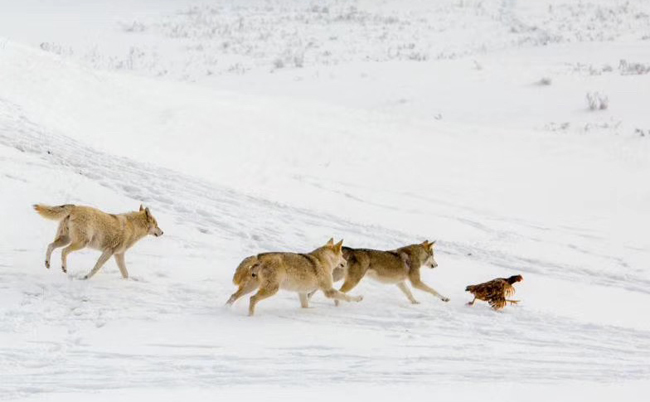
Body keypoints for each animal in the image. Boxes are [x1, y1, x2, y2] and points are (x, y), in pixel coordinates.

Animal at [33, 204, 163, 280]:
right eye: (157, 225)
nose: (162, 232)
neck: (134, 227)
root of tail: (75, 207)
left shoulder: (118, 255)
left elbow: (125, 273)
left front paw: (126, 282)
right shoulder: (109, 252)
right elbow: (96, 267)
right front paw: (86, 277)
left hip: (65, 239)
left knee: (50, 246)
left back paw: (47, 264)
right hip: (81, 243)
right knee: (64, 251)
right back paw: (64, 268)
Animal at [225, 237, 362, 316]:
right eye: (342, 255)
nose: (346, 263)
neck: (324, 260)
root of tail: (259, 256)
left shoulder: (302, 292)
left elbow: (305, 306)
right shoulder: (328, 291)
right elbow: (346, 296)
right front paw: (359, 298)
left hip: (252, 286)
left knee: (233, 296)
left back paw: (225, 311)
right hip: (271, 289)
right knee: (252, 299)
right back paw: (250, 317)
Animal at [312, 239, 446, 304]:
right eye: (433, 255)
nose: (437, 265)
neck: (415, 255)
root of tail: (352, 250)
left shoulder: (400, 282)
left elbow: (409, 294)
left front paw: (415, 303)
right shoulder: (416, 282)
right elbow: (433, 290)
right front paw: (444, 298)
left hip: (335, 277)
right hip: (353, 281)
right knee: (339, 292)